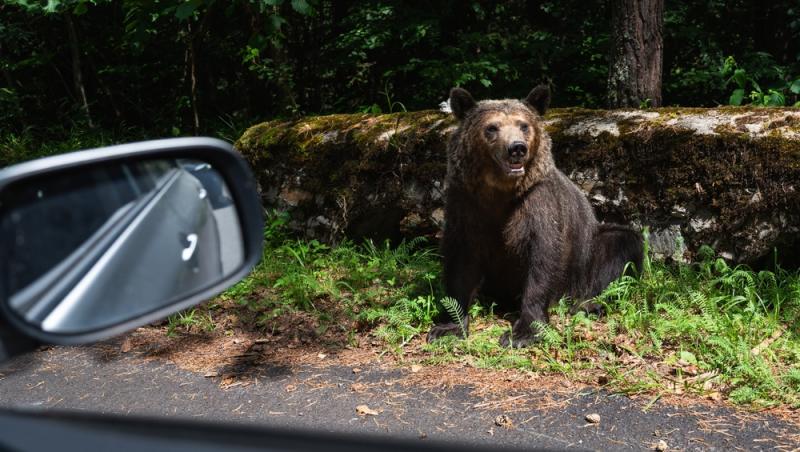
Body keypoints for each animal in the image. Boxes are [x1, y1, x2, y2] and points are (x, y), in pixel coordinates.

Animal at [424, 85, 644, 348]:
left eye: (523, 125)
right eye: (492, 127)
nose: (517, 148)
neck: (500, 191)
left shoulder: (537, 201)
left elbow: (542, 258)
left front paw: (523, 332)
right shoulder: (466, 202)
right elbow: (461, 260)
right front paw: (448, 326)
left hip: (585, 257)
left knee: (620, 243)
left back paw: (588, 305)